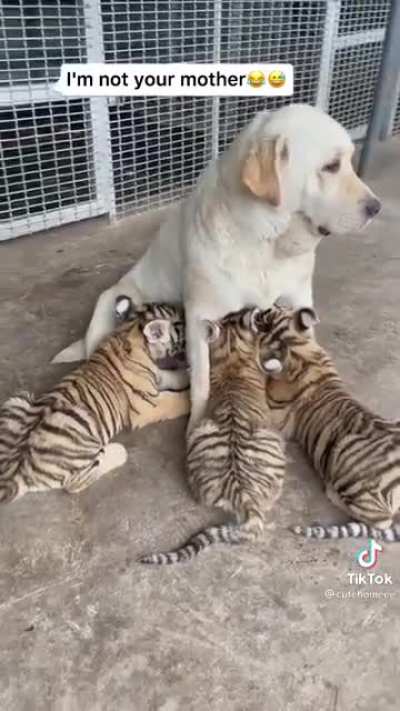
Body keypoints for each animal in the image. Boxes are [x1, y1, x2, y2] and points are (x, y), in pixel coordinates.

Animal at [0, 299, 189, 504]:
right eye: (179, 322)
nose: (185, 311)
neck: (129, 328)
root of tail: (12, 475)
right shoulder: (146, 405)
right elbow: (176, 400)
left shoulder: (156, 377)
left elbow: (169, 376)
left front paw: (187, 375)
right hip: (78, 419)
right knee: (76, 482)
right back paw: (117, 451)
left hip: (18, 399)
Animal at [252, 305, 400, 542]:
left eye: (269, 312)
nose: (257, 309)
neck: (296, 343)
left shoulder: (278, 415)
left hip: (346, 456)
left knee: (380, 521)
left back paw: (333, 494)